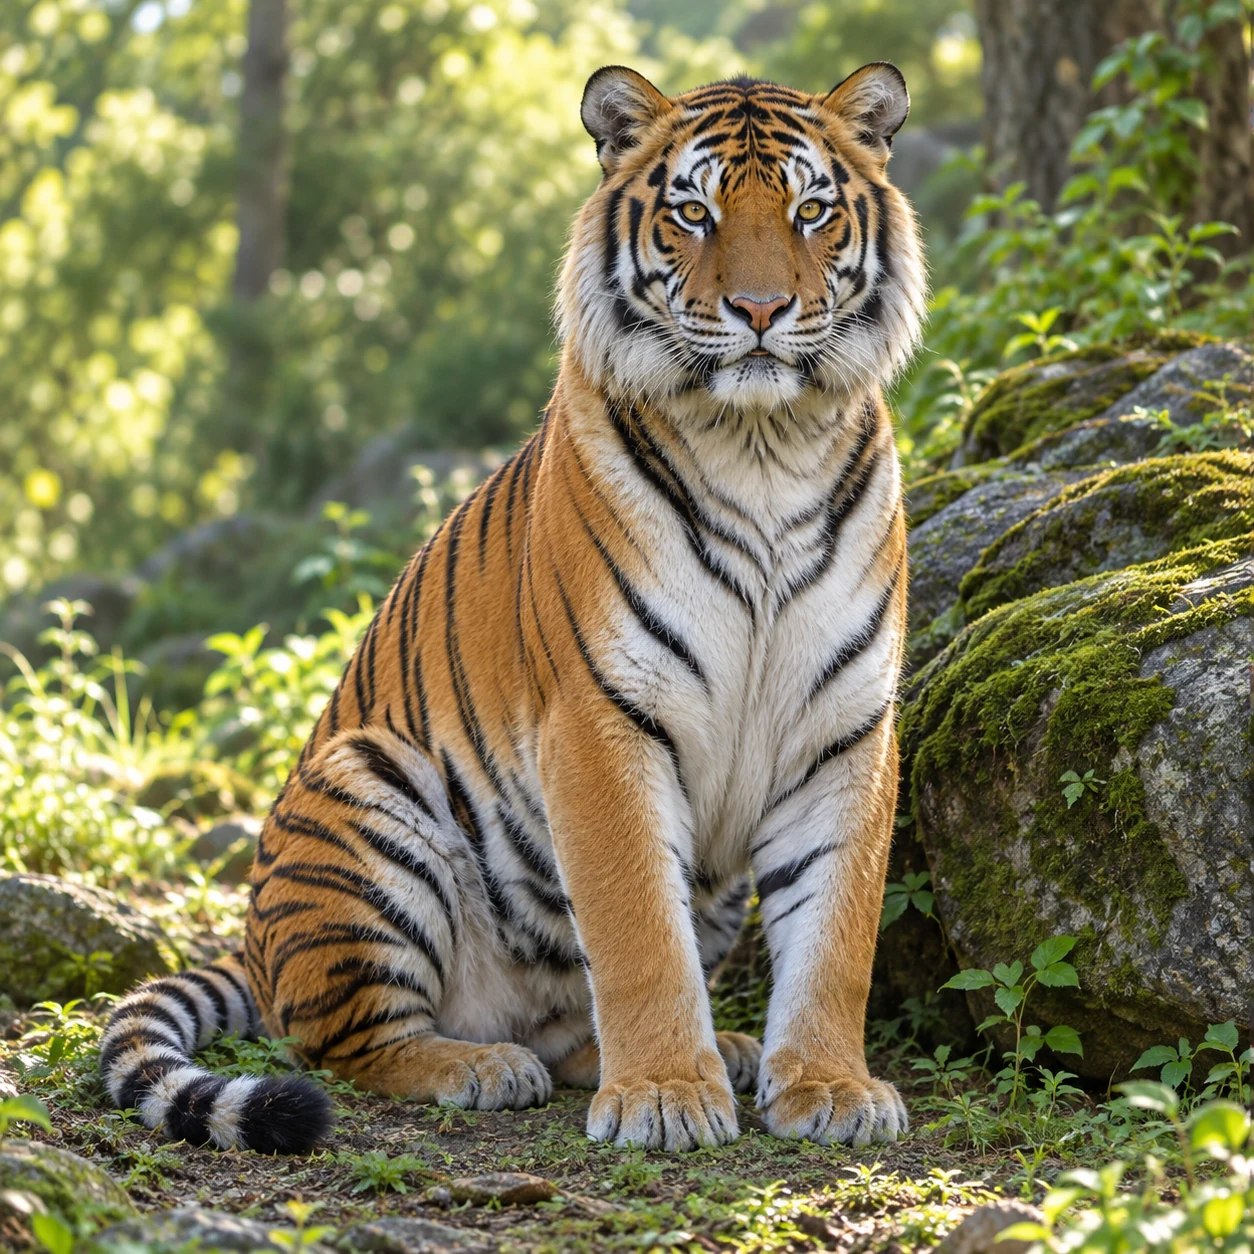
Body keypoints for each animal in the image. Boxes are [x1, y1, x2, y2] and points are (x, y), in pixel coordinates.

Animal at [98, 61, 926, 1155]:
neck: (763, 447)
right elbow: (636, 929)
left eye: (811, 211)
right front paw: (665, 1095)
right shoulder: (601, 718)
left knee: (564, 1021)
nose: (759, 308)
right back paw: (481, 1066)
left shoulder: (845, 725)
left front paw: (828, 1086)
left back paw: (718, 1050)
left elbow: (836, 931)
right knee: (345, 1042)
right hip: (371, 797)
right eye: (694, 213)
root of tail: (253, 944)